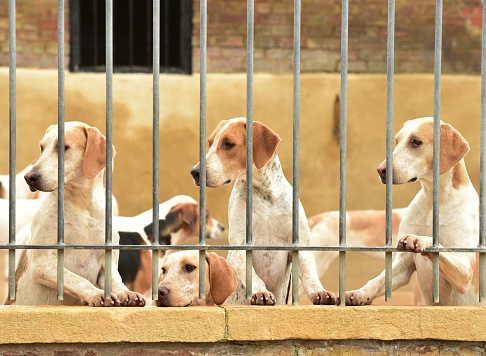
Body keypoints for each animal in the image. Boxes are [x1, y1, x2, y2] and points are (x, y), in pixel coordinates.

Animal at [6, 121, 145, 306]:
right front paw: (95, 294)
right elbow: (78, 280)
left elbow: (116, 282)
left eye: (63, 147)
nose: (29, 177)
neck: (82, 204)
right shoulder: (43, 262)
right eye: (42, 148)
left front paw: (126, 293)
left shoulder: (107, 263)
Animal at [189, 117, 334, 306]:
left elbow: (310, 275)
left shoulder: (300, 244)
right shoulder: (240, 245)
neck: (265, 195)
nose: (195, 172)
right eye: (210, 143)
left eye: (228, 144)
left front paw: (320, 292)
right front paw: (261, 292)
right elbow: (252, 276)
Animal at [344, 117, 480, 306]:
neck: (434, 202)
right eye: (396, 142)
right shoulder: (403, 264)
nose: (381, 170)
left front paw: (417, 239)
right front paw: (360, 294)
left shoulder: (465, 270)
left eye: (415, 142)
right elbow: (378, 280)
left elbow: (435, 244)